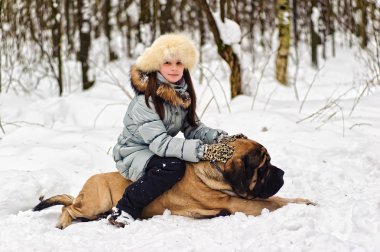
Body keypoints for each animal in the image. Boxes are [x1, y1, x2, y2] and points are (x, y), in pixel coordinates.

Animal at [31, 138, 314, 228]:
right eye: (264, 167)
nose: (282, 173)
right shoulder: (238, 203)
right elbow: (273, 202)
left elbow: (280, 198)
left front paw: (304, 200)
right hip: (95, 200)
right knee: (67, 208)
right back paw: (63, 224)